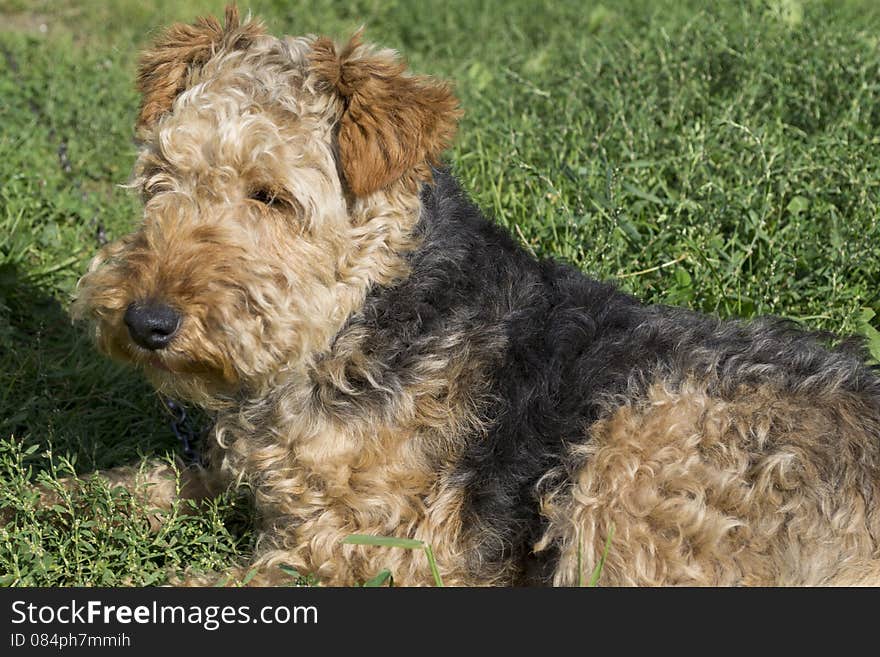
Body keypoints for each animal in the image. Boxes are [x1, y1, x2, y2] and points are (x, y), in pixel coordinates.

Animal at [72, 7, 880, 584]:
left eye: (270, 196)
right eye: (160, 178)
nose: (146, 322)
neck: (360, 317)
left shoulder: (356, 548)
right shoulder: (256, 476)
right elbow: (156, 478)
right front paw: (64, 496)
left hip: (629, 457)